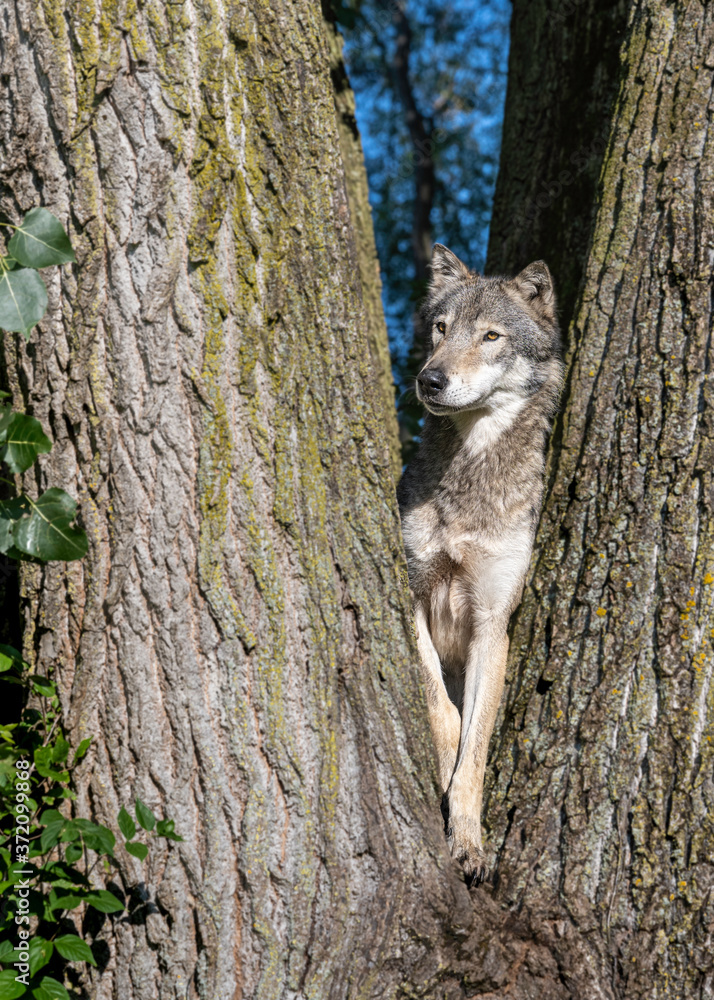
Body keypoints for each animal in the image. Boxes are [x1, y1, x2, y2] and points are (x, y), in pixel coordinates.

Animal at [397, 244, 563, 884]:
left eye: (491, 336)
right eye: (441, 330)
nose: (430, 379)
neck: (470, 477)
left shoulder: (494, 624)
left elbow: (477, 747)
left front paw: (468, 839)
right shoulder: (415, 596)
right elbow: (444, 714)